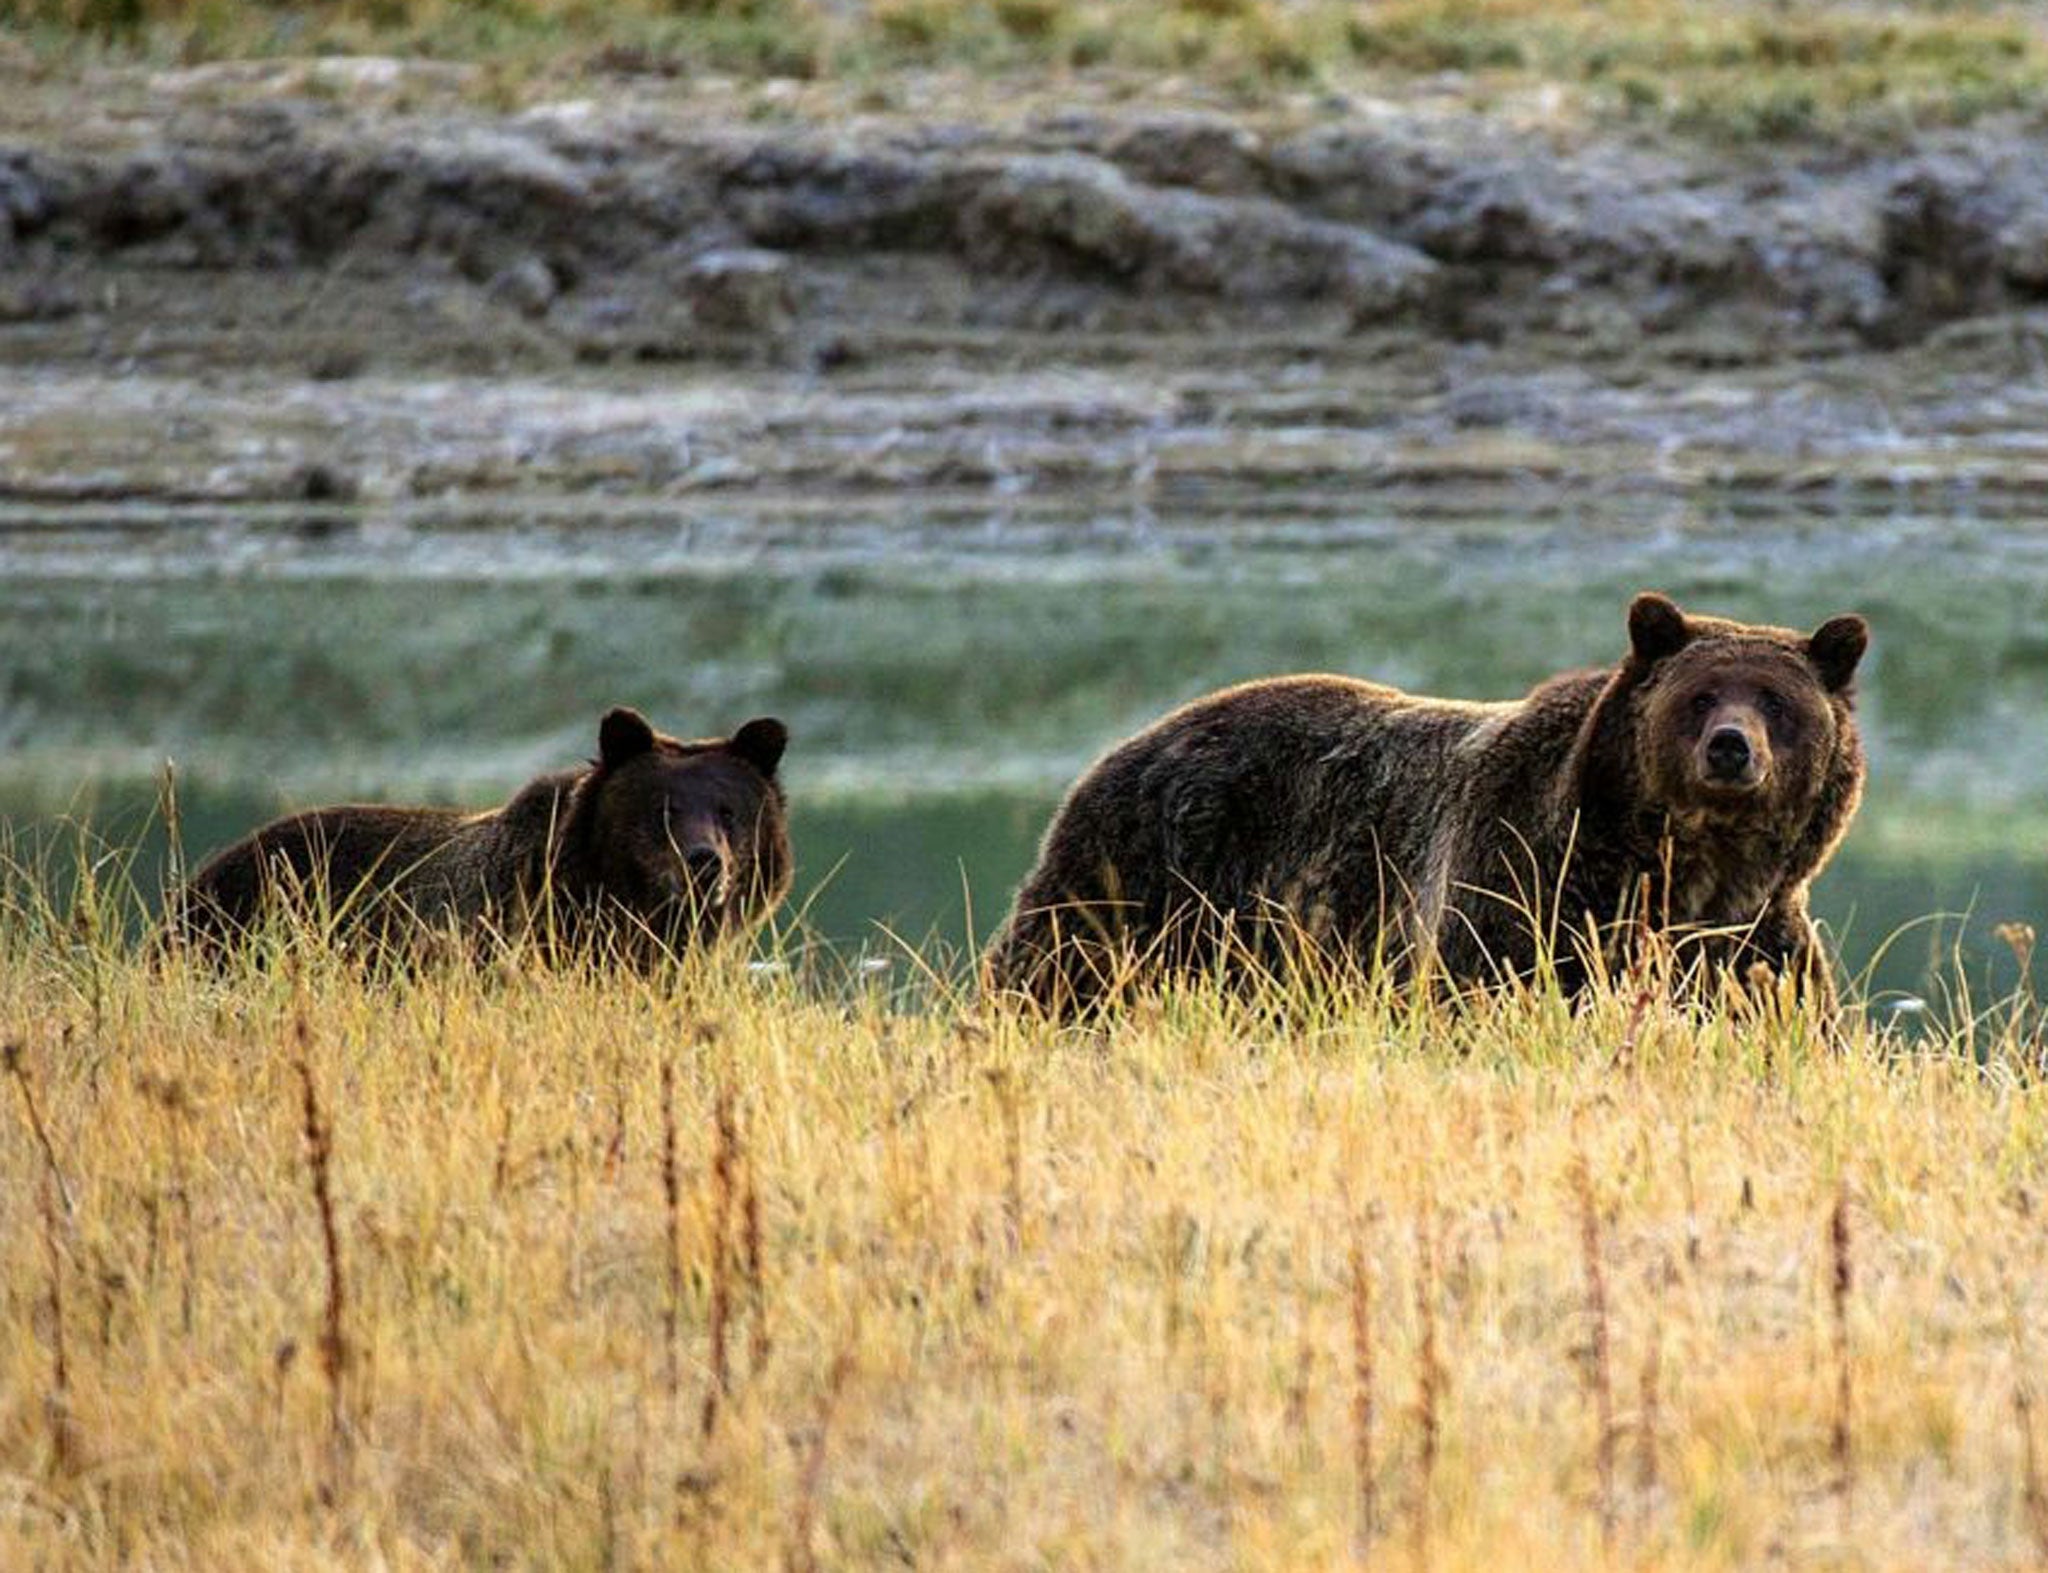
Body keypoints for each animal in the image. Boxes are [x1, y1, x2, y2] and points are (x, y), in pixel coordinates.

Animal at [991, 593, 1875, 1019]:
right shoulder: (1521, 885)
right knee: (1055, 969)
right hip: (1143, 878)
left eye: (1775, 699)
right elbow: (1487, 989)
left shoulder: (1753, 937)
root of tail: (1124, 745)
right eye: (1700, 695)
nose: (1731, 747)